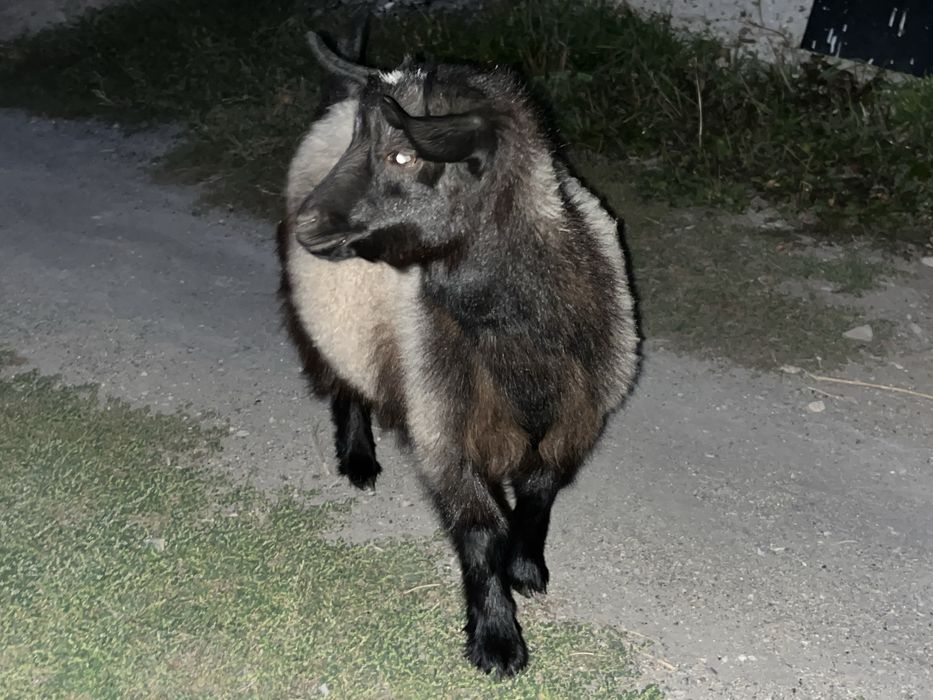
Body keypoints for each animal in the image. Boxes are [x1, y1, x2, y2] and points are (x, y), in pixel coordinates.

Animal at [276, 27, 640, 677]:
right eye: (361, 143)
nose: (308, 224)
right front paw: (497, 638)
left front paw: (525, 567)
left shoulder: (576, 414)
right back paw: (359, 458)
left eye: (403, 155)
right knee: (345, 384)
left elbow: (539, 493)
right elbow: (478, 529)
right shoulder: (443, 422)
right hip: (330, 325)